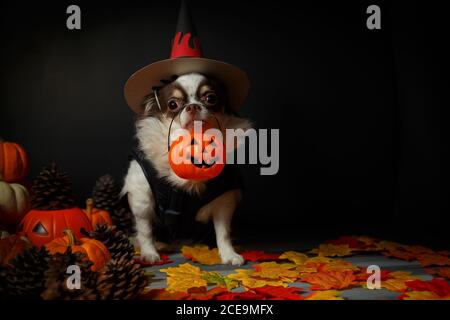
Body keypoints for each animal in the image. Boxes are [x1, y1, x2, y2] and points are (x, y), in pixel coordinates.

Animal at [121, 72, 251, 264]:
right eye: (173, 104)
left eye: (210, 98)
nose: (193, 106)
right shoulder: (141, 196)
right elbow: (145, 230)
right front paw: (149, 253)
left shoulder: (224, 200)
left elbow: (223, 231)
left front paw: (229, 254)